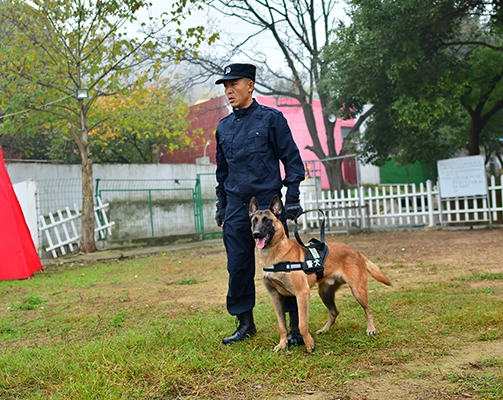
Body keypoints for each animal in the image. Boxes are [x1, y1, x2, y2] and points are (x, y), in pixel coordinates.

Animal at [250, 195, 392, 352]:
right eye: (254, 220)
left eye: (267, 220)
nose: (256, 234)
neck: (275, 253)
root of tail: (355, 251)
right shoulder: (275, 297)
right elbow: (282, 326)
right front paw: (282, 344)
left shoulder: (302, 294)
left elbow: (302, 324)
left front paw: (309, 345)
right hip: (325, 293)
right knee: (334, 312)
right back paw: (325, 329)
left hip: (357, 291)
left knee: (368, 309)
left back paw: (371, 329)